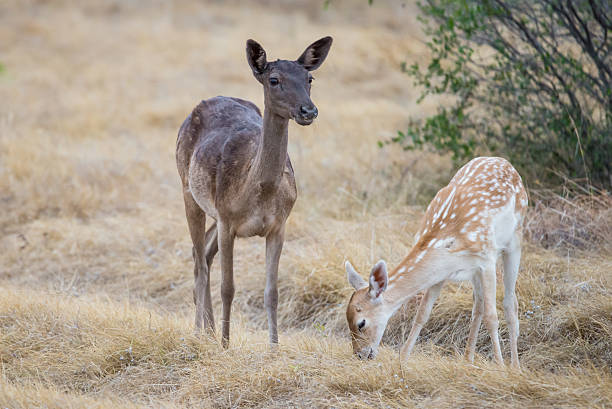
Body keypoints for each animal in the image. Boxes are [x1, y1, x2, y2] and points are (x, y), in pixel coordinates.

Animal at [175, 36, 332, 346]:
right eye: (274, 79)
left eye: (309, 78)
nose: (308, 111)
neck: (260, 192)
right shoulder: (227, 220)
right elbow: (228, 287)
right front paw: (226, 345)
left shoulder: (278, 225)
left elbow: (272, 293)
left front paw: (274, 348)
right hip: (189, 192)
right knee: (199, 260)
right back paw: (199, 332)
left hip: (213, 213)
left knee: (205, 254)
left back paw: (210, 330)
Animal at [344, 155, 524, 366]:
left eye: (361, 323)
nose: (360, 354)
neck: (444, 247)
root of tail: (505, 162)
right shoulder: (443, 273)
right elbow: (422, 313)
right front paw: (402, 360)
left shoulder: (486, 258)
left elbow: (492, 316)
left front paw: (500, 367)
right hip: (475, 271)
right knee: (477, 305)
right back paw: (467, 360)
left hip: (514, 240)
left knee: (510, 303)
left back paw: (514, 367)